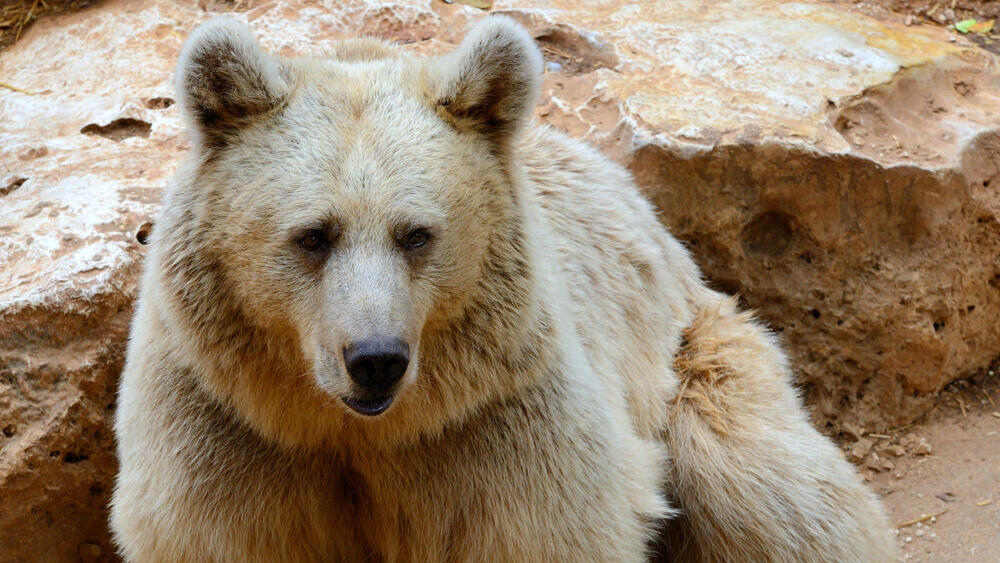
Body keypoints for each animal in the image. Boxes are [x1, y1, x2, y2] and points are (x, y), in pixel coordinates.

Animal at [111, 15, 897, 562]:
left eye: (416, 233)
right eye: (313, 235)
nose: (375, 359)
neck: (354, 428)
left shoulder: (495, 421)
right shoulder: (227, 427)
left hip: (690, 351)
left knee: (763, 484)